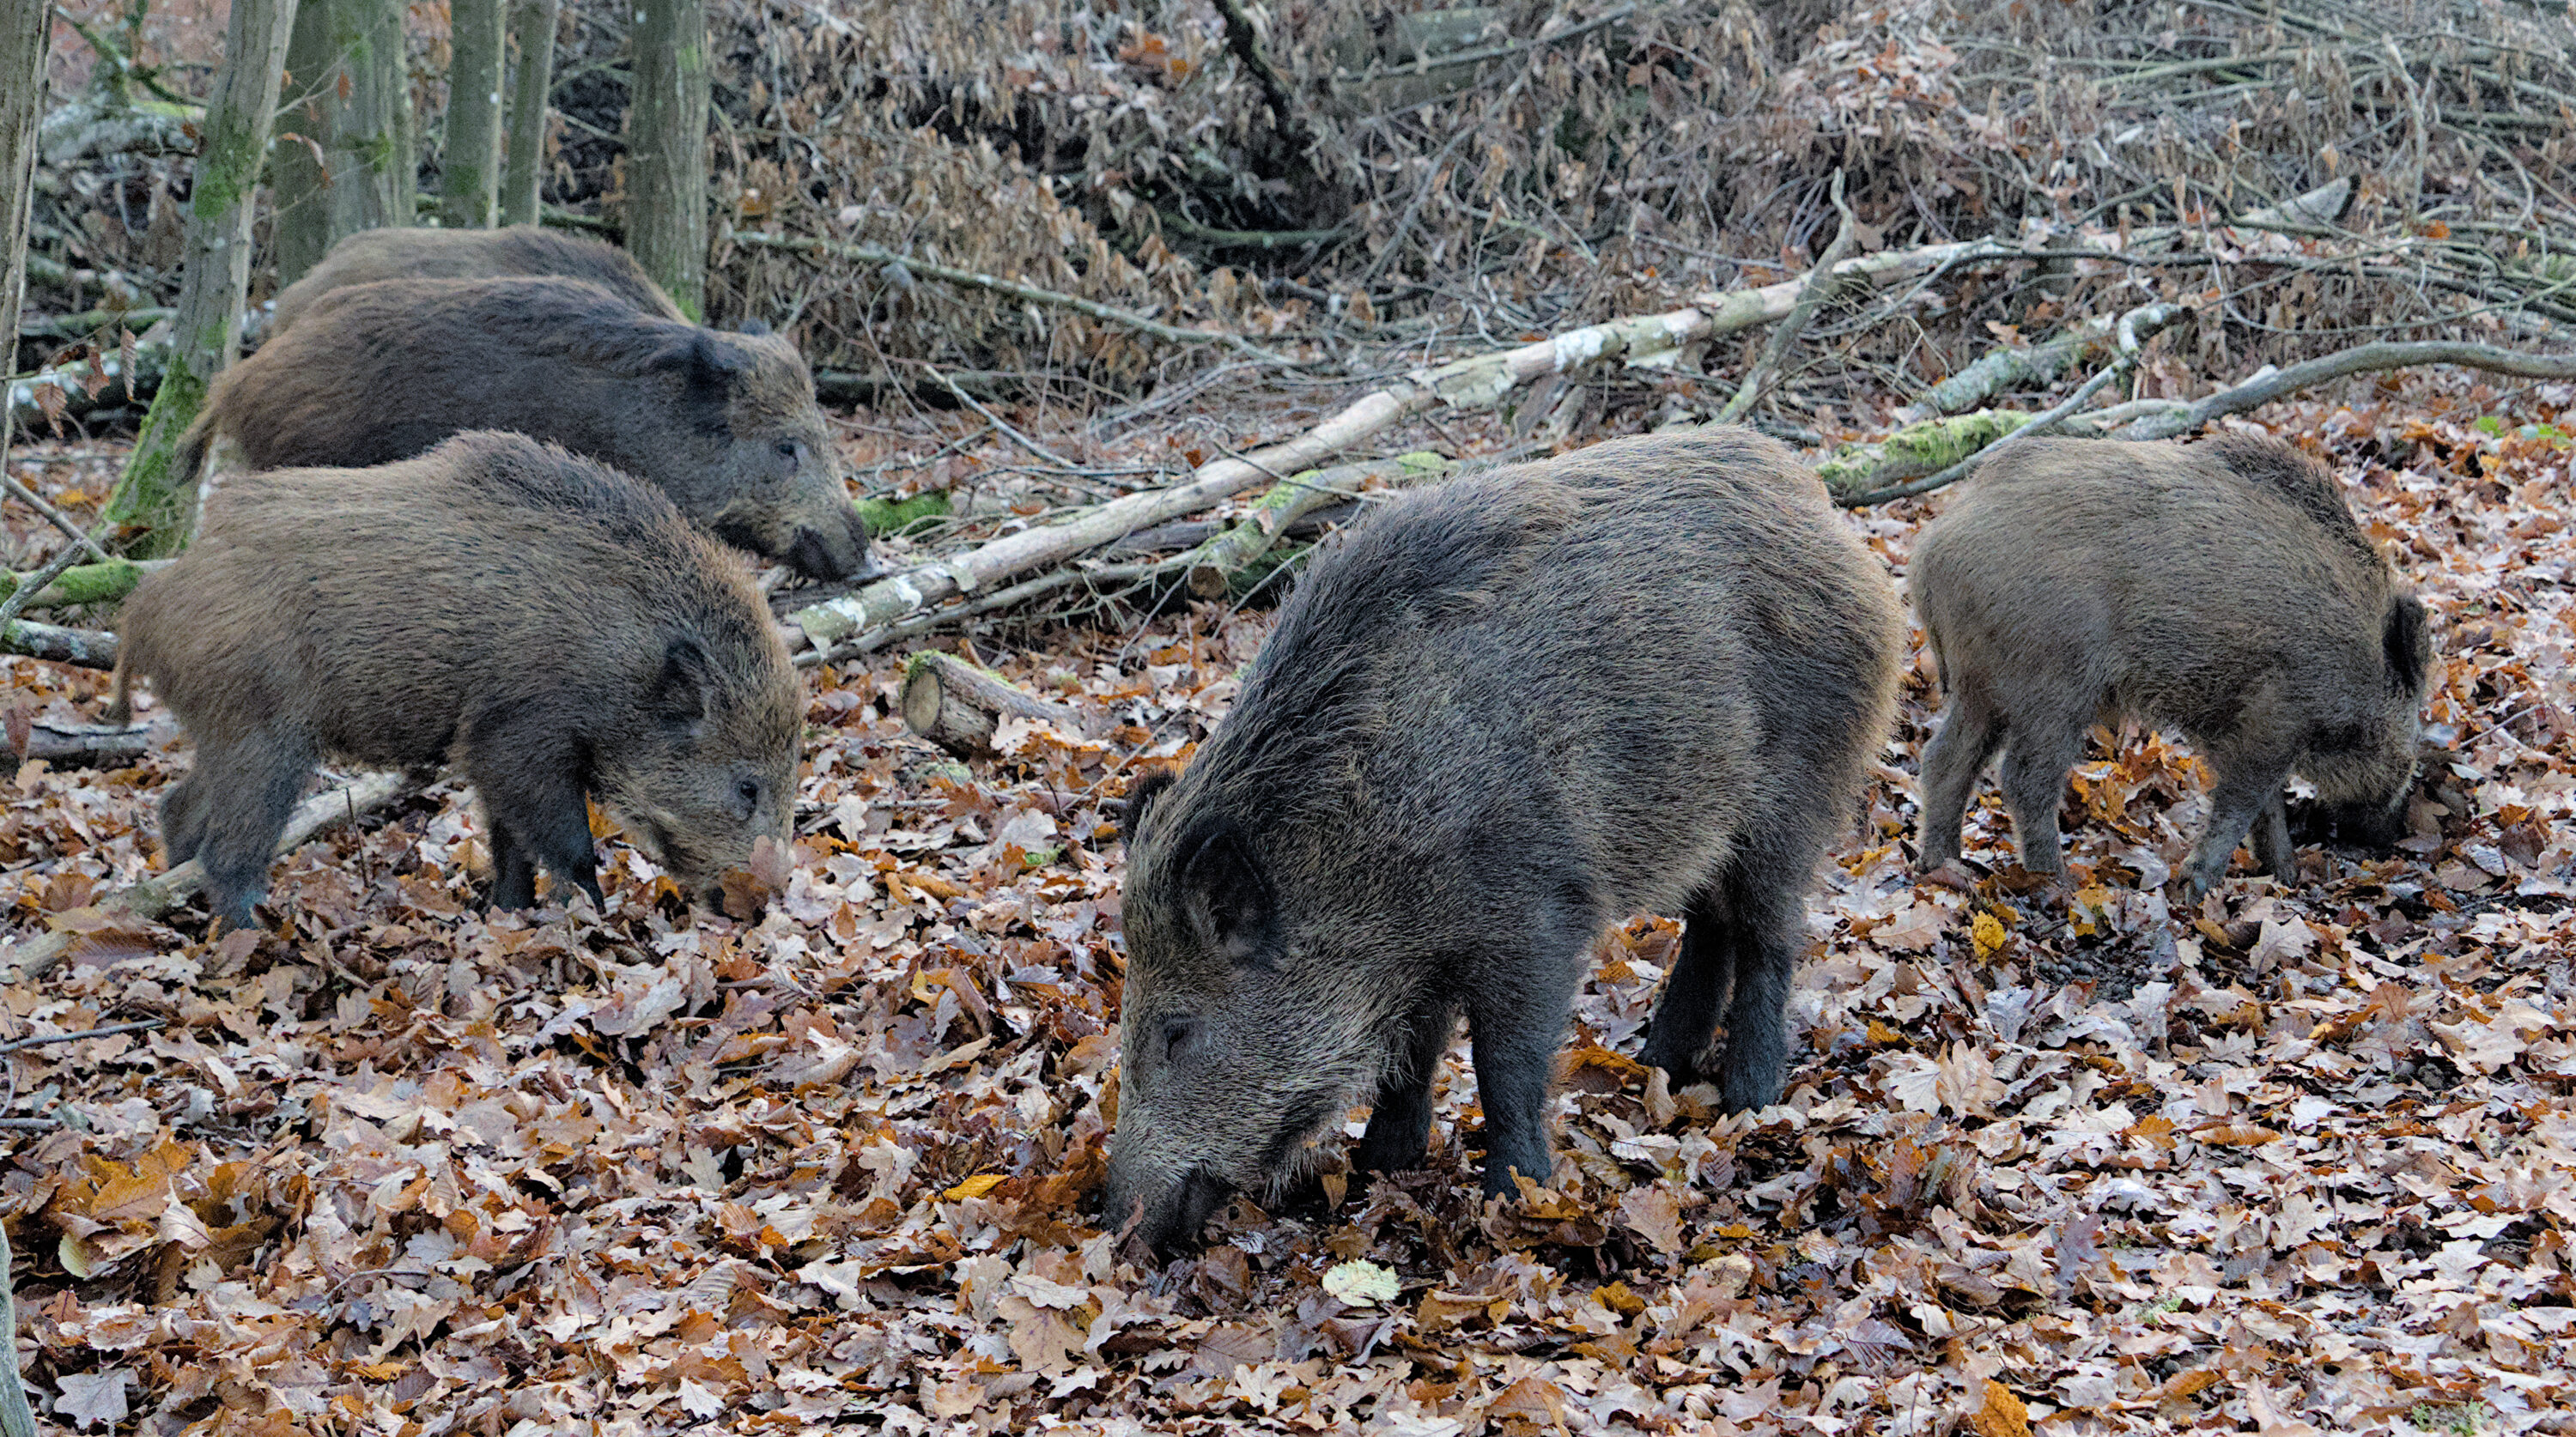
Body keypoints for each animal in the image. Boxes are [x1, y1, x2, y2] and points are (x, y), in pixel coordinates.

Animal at [109, 430, 804, 928]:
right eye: (747, 786)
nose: (763, 906)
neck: (624, 661)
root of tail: (145, 608)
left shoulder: (496, 752)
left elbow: (510, 843)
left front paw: (507, 915)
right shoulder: (519, 736)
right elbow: (569, 846)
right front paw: (588, 920)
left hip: (224, 730)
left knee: (179, 808)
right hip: (263, 736)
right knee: (229, 850)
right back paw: (253, 937)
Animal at [1103, 429, 1903, 1254]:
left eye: (1177, 1031)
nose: (1113, 1221)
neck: (1360, 842)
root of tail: (1820, 506)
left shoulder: (1534, 915)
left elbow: (1503, 1063)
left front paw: (1515, 1197)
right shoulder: (1418, 951)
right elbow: (1412, 1050)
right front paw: (1380, 1166)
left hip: (1796, 794)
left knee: (1772, 932)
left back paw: (1749, 1098)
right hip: (1704, 821)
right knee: (1713, 925)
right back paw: (1658, 1066)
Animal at [1910, 432, 2433, 897]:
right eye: (2413, 722)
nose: (2388, 839)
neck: (2360, 661)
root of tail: (1933, 546)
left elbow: (2267, 806)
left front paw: (2285, 879)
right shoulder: (2274, 717)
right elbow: (2245, 800)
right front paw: (2198, 888)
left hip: (1981, 683)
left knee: (1944, 759)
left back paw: (1944, 867)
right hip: (2051, 684)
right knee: (2024, 780)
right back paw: (2058, 884)